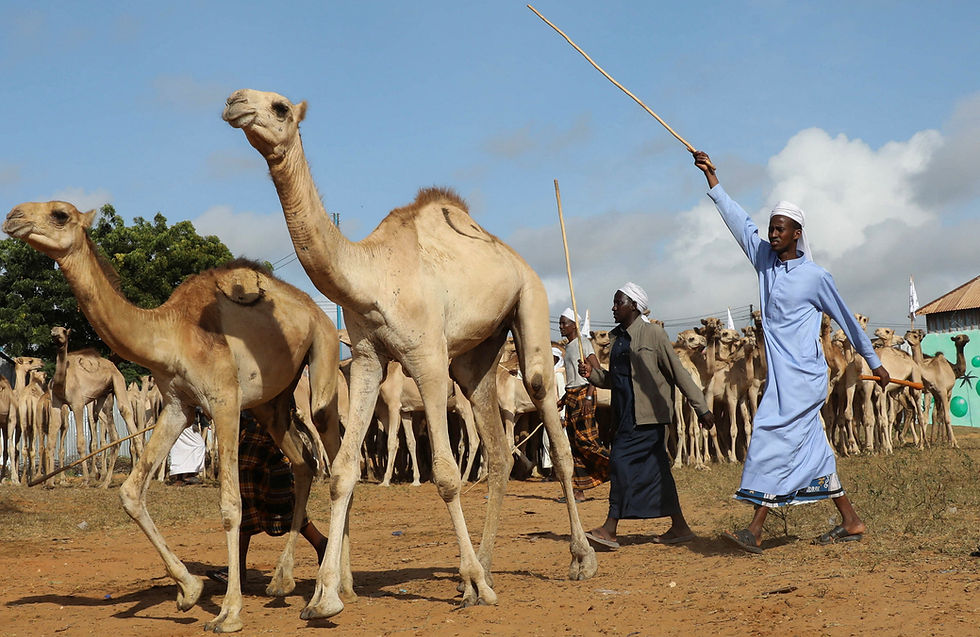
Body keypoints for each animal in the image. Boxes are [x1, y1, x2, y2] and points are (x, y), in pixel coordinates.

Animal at [50, 326, 142, 487]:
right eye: (53, 329)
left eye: (64, 331)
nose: (55, 333)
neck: (63, 383)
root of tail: (113, 365)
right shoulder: (56, 404)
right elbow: (51, 442)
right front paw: (49, 482)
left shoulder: (78, 404)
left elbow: (81, 442)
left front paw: (86, 480)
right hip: (104, 394)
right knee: (112, 431)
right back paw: (105, 482)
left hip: (118, 381)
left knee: (125, 411)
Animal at [224, 88, 595, 620]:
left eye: (279, 107)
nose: (236, 102)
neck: (373, 278)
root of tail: (513, 256)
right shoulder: (367, 358)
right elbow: (342, 471)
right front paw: (324, 597)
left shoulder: (427, 360)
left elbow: (445, 474)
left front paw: (476, 586)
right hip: (476, 357)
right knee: (498, 452)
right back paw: (480, 569)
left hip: (529, 304)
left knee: (550, 420)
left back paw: (578, 560)